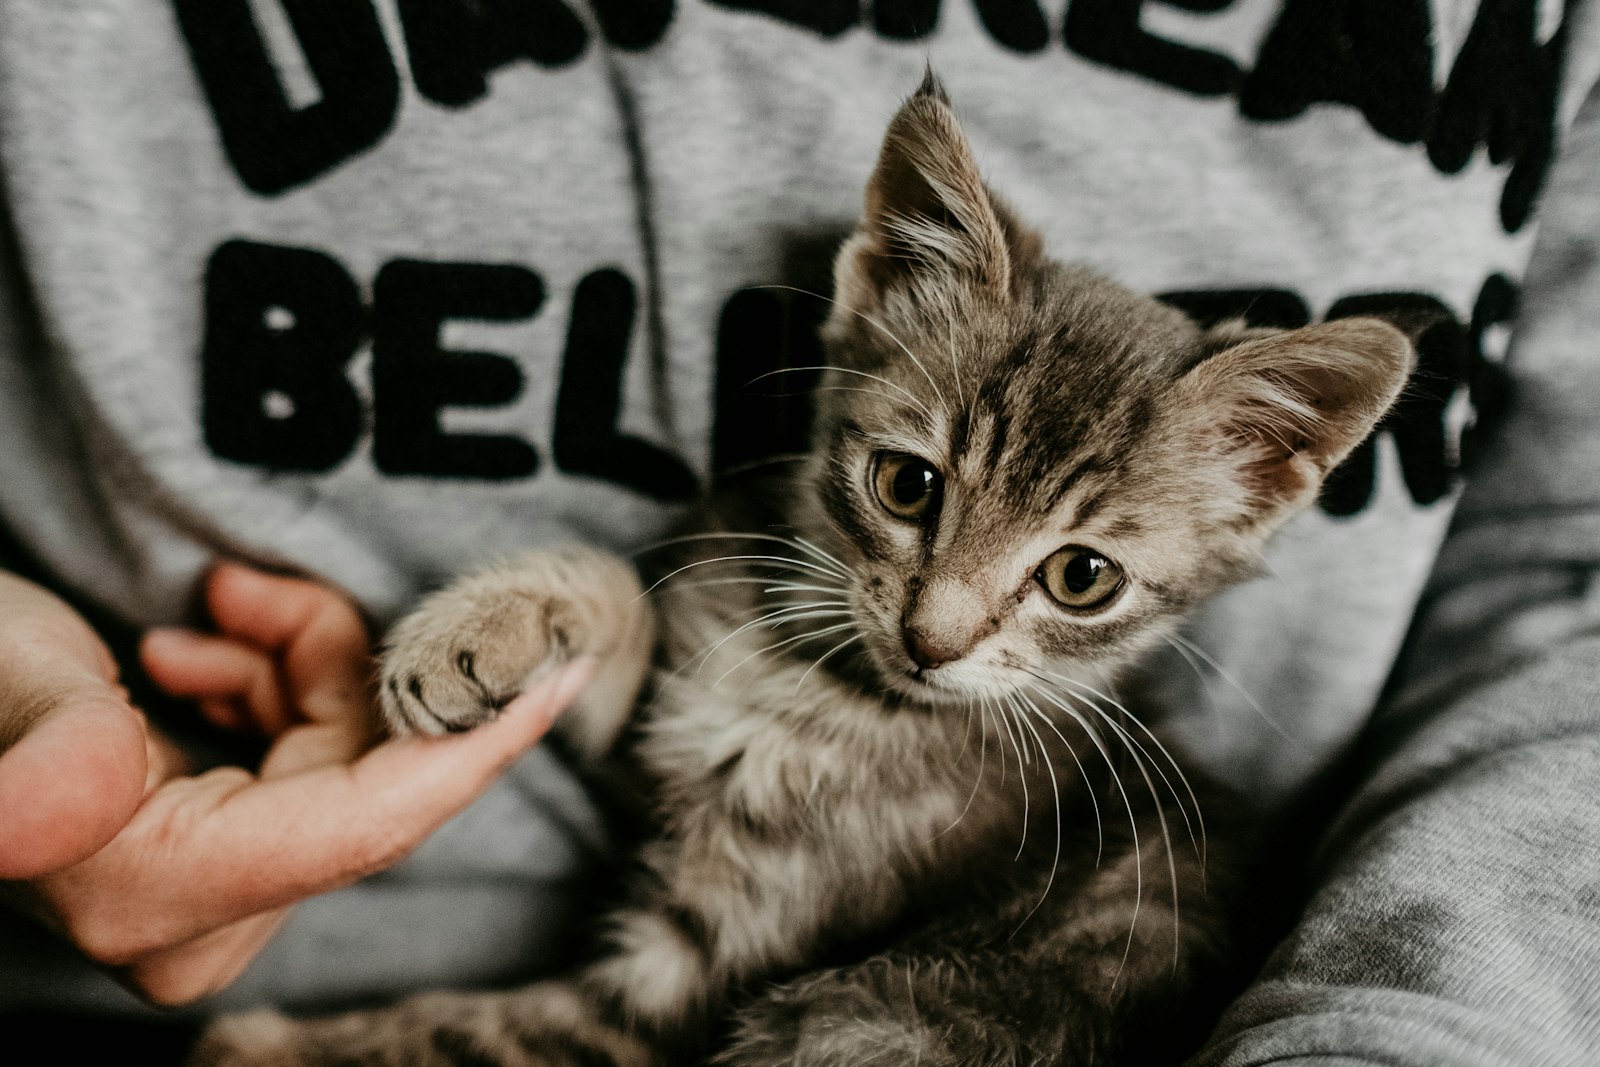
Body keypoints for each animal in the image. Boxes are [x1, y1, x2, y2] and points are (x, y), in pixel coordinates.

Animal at [190, 77, 1414, 1067]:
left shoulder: (687, 983)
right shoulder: (666, 746)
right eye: (908, 485)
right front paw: (481, 628)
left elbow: (479, 1031)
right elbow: (620, 607)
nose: (932, 638)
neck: (822, 689)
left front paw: (258, 1044)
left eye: (1081, 578)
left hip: (845, 1020)